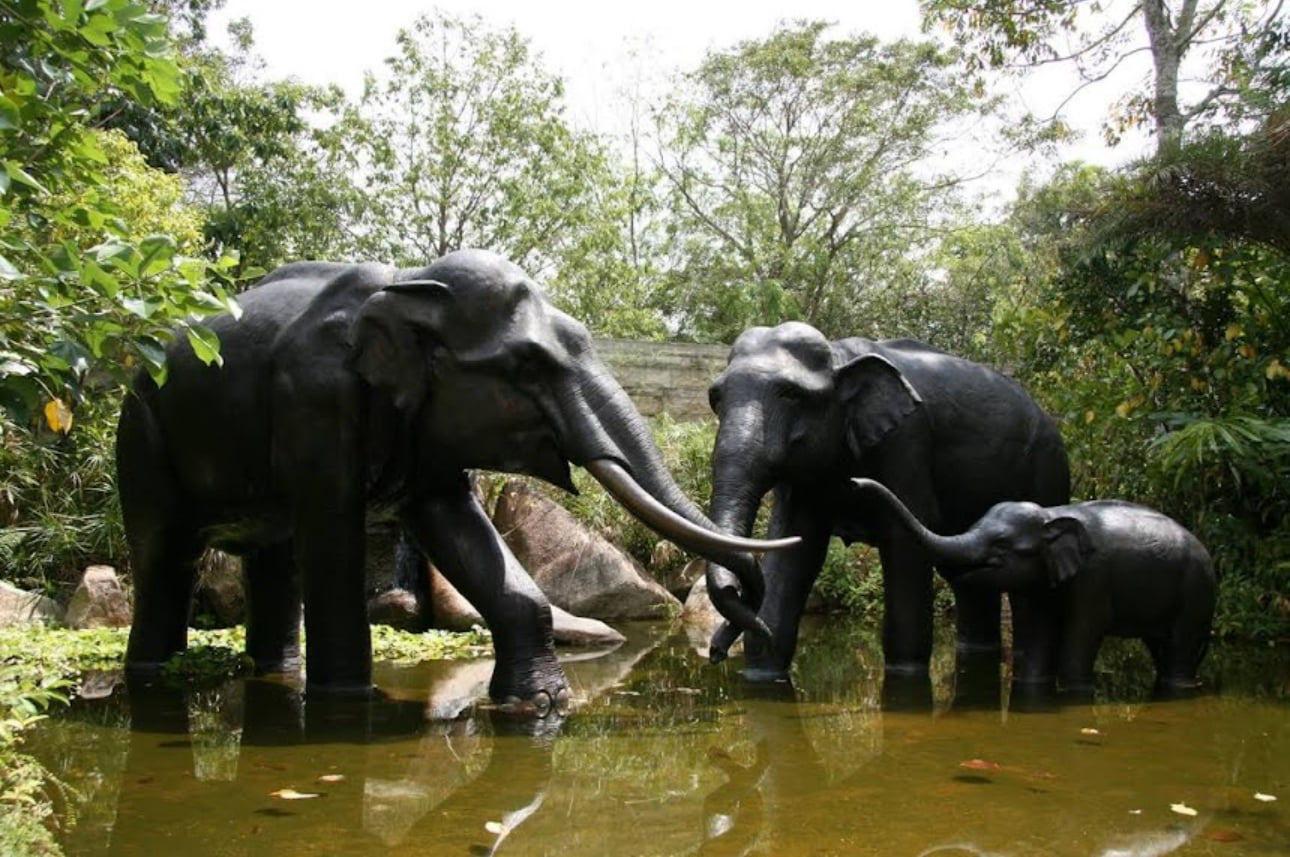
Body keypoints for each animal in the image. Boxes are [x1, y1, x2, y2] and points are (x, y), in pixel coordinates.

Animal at [117, 249, 795, 709]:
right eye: (528, 363)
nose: (726, 648)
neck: (407, 286)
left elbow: (458, 525)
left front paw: (540, 706)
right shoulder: (314, 401)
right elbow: (334, 542)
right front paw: (347, 708)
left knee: (272, 560)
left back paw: (275, 672)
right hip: (142, 431)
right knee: (165, 558)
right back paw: (152, 676)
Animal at [704, 322, 1070, 680]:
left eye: (792, 394)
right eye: (715, 397)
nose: (715, 652)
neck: (839, 355)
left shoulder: (906, 441)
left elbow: (905, 545)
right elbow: (794, 546)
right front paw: (762, 671)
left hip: (1049, 470)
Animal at [849, 477, 1216, 690]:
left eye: (1002, 545)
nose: (854, 482)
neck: (1051, 516)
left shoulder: (1093, 577)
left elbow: (1083, 630)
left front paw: (1073, 689)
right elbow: (1039, 628)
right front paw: (1033, 682)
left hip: (1195, 591)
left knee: (1180, 645)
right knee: (1161, 647)